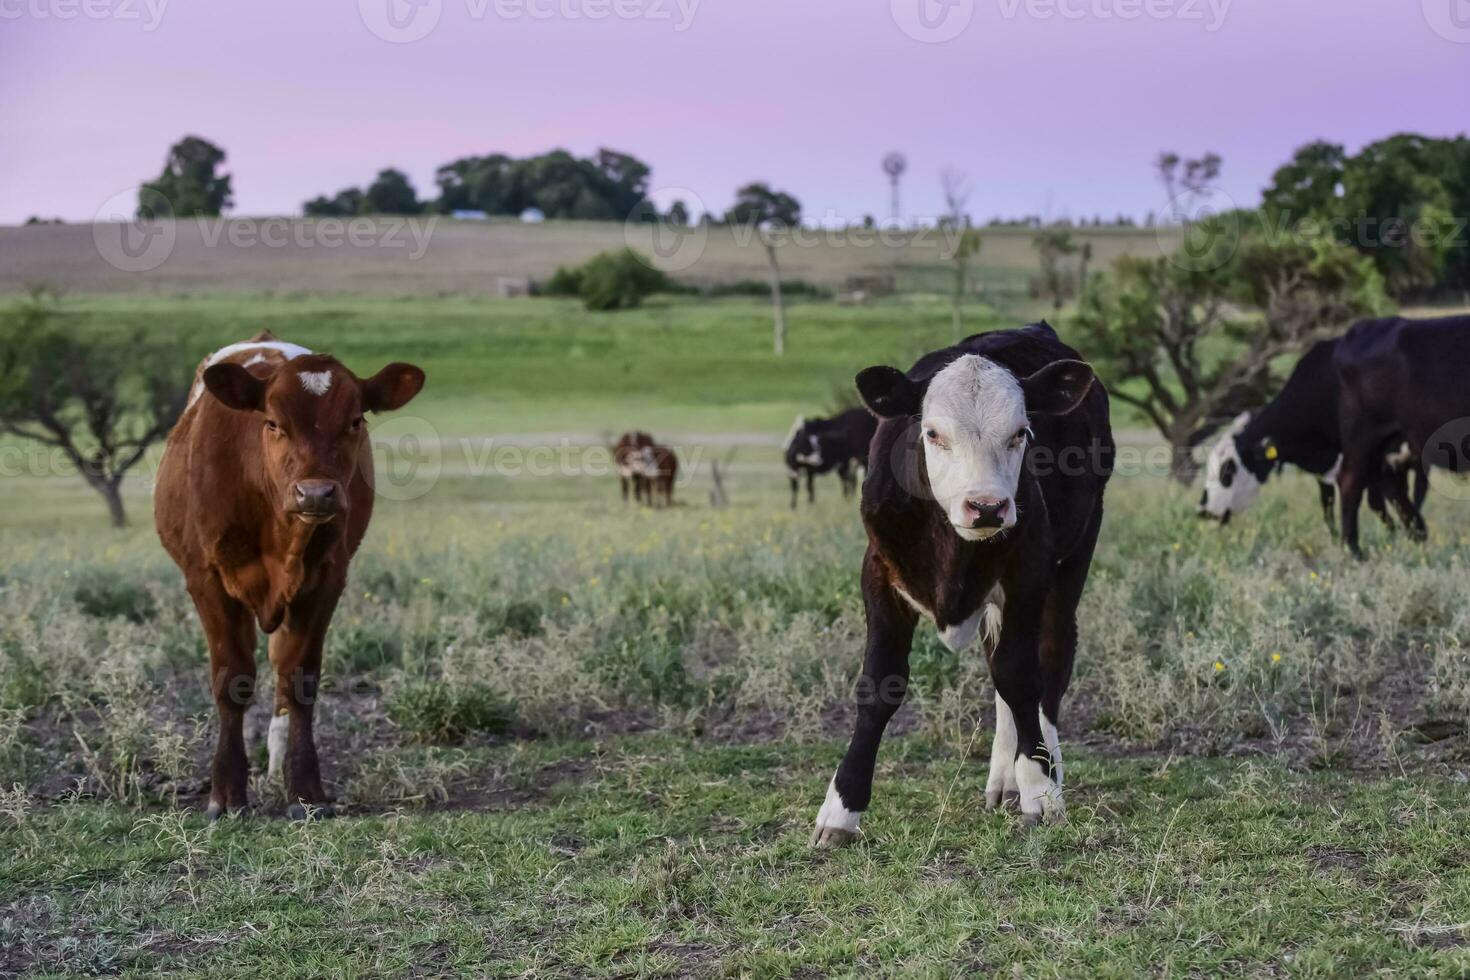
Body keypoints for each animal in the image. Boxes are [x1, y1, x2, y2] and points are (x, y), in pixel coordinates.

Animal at [155, 333, 426, 816]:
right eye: (273, 423)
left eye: (355, 421)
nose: (315, 493)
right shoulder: (206, 579)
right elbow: (232, 677)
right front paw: (226, 791)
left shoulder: (327, 579)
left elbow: (299, 678)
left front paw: (304, 789)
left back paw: (274, 759)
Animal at [811, 320, 1105, 846]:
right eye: (932, 433)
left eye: (1021, 432)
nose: (987, 507)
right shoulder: (879, 573)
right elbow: (880, 684)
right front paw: (841, 809)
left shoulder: (1029, 571)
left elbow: (1020, 676)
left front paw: (1040, 789)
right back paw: (1005, 779)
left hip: (1073, 559)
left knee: (1049, 662)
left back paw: (1040, 769)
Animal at [1199, 337, 1428, 537]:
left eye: (1227, 471)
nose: (1203, 510)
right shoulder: (1324, 470)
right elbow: (1328, 509)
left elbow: (1377, 503)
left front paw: (1396, 535)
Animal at [1334, 315, 1470, 558]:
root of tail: (1364, 326)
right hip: (1362, 435)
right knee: (1350, 481)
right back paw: (1353, 550)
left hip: (1392, 443)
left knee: (1390, 482)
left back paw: (1418, 532)